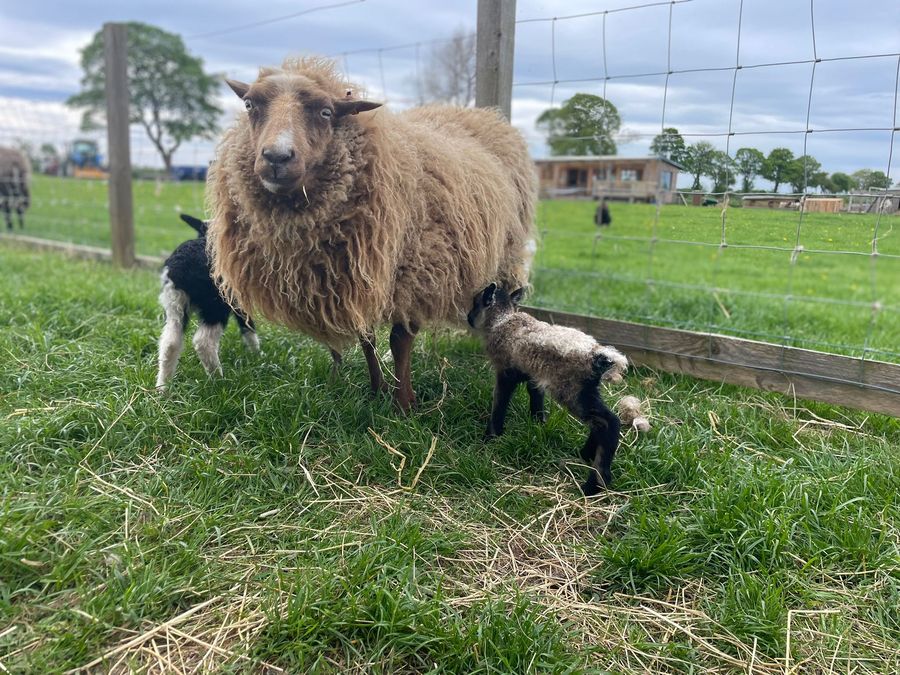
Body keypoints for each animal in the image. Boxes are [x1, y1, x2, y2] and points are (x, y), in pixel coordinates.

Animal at [156, 213, 259, 390]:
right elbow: (247, 324)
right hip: (216, 304)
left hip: (174, 303)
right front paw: (257, 354)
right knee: (203, 342)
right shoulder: (236, 299)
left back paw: (162, 388)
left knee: (170, 342)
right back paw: (219, 381)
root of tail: (181, 266)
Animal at [206, 57, 536, 410]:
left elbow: (399, 340)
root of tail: (482, 113)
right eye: (249, 105)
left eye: (326, 112)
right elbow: (367, 339)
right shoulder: (352, 280)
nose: (276, 157)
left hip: (506, 253)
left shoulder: (415, 273)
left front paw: (404, 404)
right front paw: (377, 391)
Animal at [467, 283, 628, 496]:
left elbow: (499, 402)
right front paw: (538, 422)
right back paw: (585, 455)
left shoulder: (505, 372)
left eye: (475, 303)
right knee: (598, 422)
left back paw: (594, 484)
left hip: (571, 390)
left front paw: (491, 436)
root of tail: (597, 354)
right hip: (586, 390)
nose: (468, 317)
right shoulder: (534, 374)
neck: (502, 321)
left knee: (609, 422)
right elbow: (535, 396)